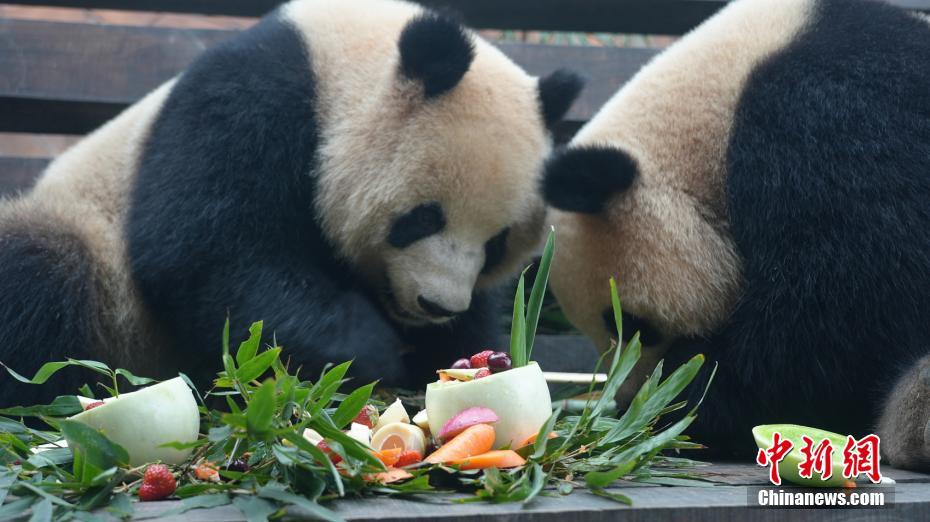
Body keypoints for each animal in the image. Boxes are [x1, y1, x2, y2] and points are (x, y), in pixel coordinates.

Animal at [0, 0, 583, 405]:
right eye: (422, 219)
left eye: (496, 244)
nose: (436, 305)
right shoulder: (251, 100)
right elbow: (208, 256)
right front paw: (368, 347)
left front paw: (457, 355)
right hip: (105, 279)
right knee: (40, 271)